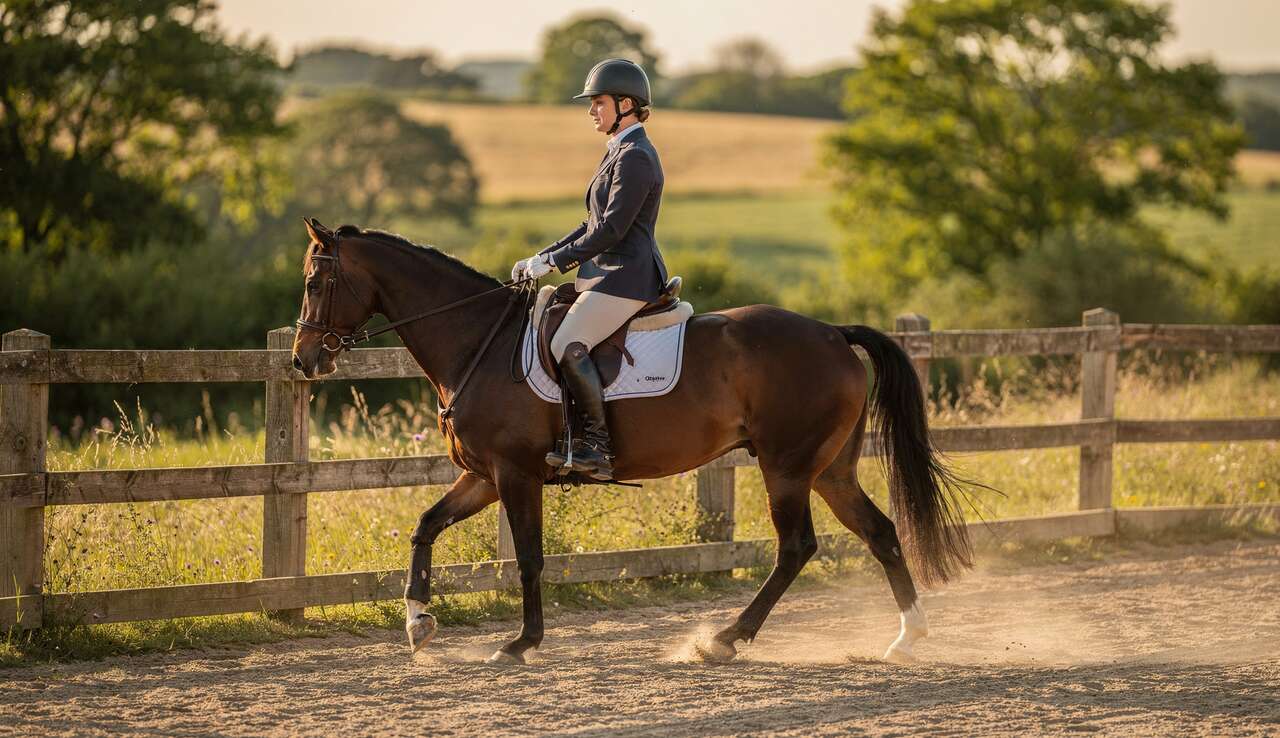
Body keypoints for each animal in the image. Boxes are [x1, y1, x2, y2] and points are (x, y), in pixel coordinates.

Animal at [290, 218, 974, 665]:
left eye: (315, 284)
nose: (302, 361)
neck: (476, 339)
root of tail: (832, 333)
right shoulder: (483, 474)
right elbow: (426, 525)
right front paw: (418, 623)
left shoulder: (515, 474)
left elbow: (530, 558)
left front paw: (519, 644)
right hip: (829, 470)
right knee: (880, 531)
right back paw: (906, 638)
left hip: (787, 467)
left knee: (796, 548)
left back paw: (723, 640)